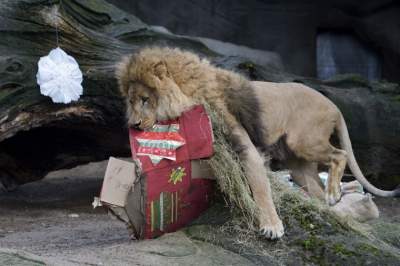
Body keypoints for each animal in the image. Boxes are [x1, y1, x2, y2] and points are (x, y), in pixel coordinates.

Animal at [114, 45, 398, 239]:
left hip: (304, 141)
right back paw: (329, 204)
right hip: (298, 164)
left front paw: (272, 226)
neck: (191, 93)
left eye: (145, 99)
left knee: (340, 155)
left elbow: (260, 187)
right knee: (316, 189)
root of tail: (334, 105)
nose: (133, 125)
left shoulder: (245, 146)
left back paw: (334, 193)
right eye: (131, 100)